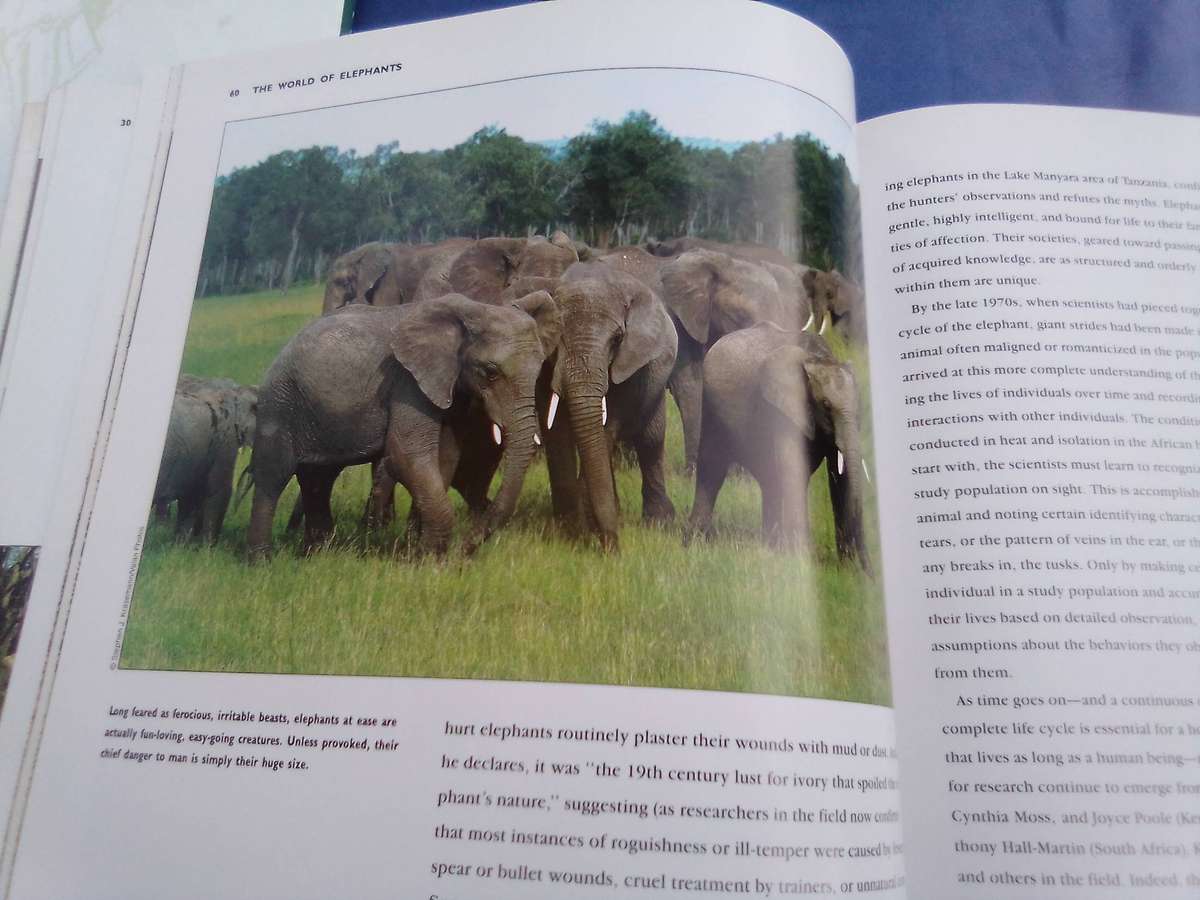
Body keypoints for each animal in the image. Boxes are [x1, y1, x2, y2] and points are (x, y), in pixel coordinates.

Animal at [246, 292, 559, 559]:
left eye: (540, 369)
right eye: (490, 372)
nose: (465, 551)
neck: (472, 309)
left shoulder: (449, 385)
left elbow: (446, 456)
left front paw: (419, 552)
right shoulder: (407, 383)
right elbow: (405, 455)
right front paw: (432, 559)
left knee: (319, 477)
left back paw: (317, 554)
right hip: (279, 402)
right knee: (274, 474)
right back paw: (262, 562)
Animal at [543, 261, 678, 551]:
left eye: (617, 339)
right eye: (557, 336)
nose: (613, 548)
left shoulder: (631, 365)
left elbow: (606, 430)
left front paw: (589, 531)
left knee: (650, 441)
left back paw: (658, 522)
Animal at [686, 322, 871, 570]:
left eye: (859, 405)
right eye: (825, 405)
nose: (868, 572)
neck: (819, 358)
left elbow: (839, 478)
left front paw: (845, 568)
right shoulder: (781, 410)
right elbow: (793, 469)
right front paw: (801, 558)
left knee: (769, 479)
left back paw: (770, 546)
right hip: (711, 407)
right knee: (712, 467)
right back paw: (694, 541)